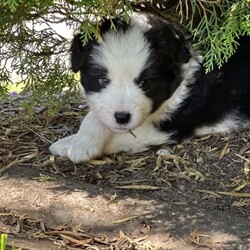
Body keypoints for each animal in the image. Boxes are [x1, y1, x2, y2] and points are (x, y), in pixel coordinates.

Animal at [49, 12, 250, 163]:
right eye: (102, 80)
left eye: (145, 83)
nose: (122, 117)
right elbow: (96, 116)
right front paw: (72, 141)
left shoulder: (166, 127)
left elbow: (118, 134)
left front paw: (77, 146)